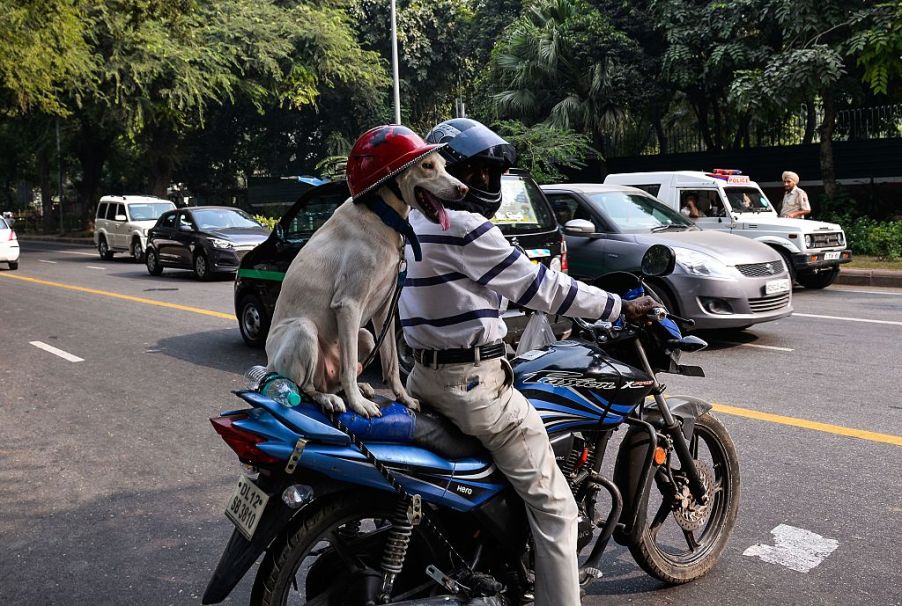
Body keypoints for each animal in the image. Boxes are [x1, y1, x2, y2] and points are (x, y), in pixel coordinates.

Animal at [266, 133, 466, 418]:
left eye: (444, 166)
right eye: (426, 166)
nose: (463, 189)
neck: (382, 214)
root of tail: (268, 366)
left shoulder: (385, 309)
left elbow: (391, 363)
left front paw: (403, 397)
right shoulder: (348, 305)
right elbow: (350, 367)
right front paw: (358, 405)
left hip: (365, 336)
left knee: (335, 377)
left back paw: (357, 388)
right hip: (303, 331)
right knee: (305, 387)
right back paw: (330, 398)